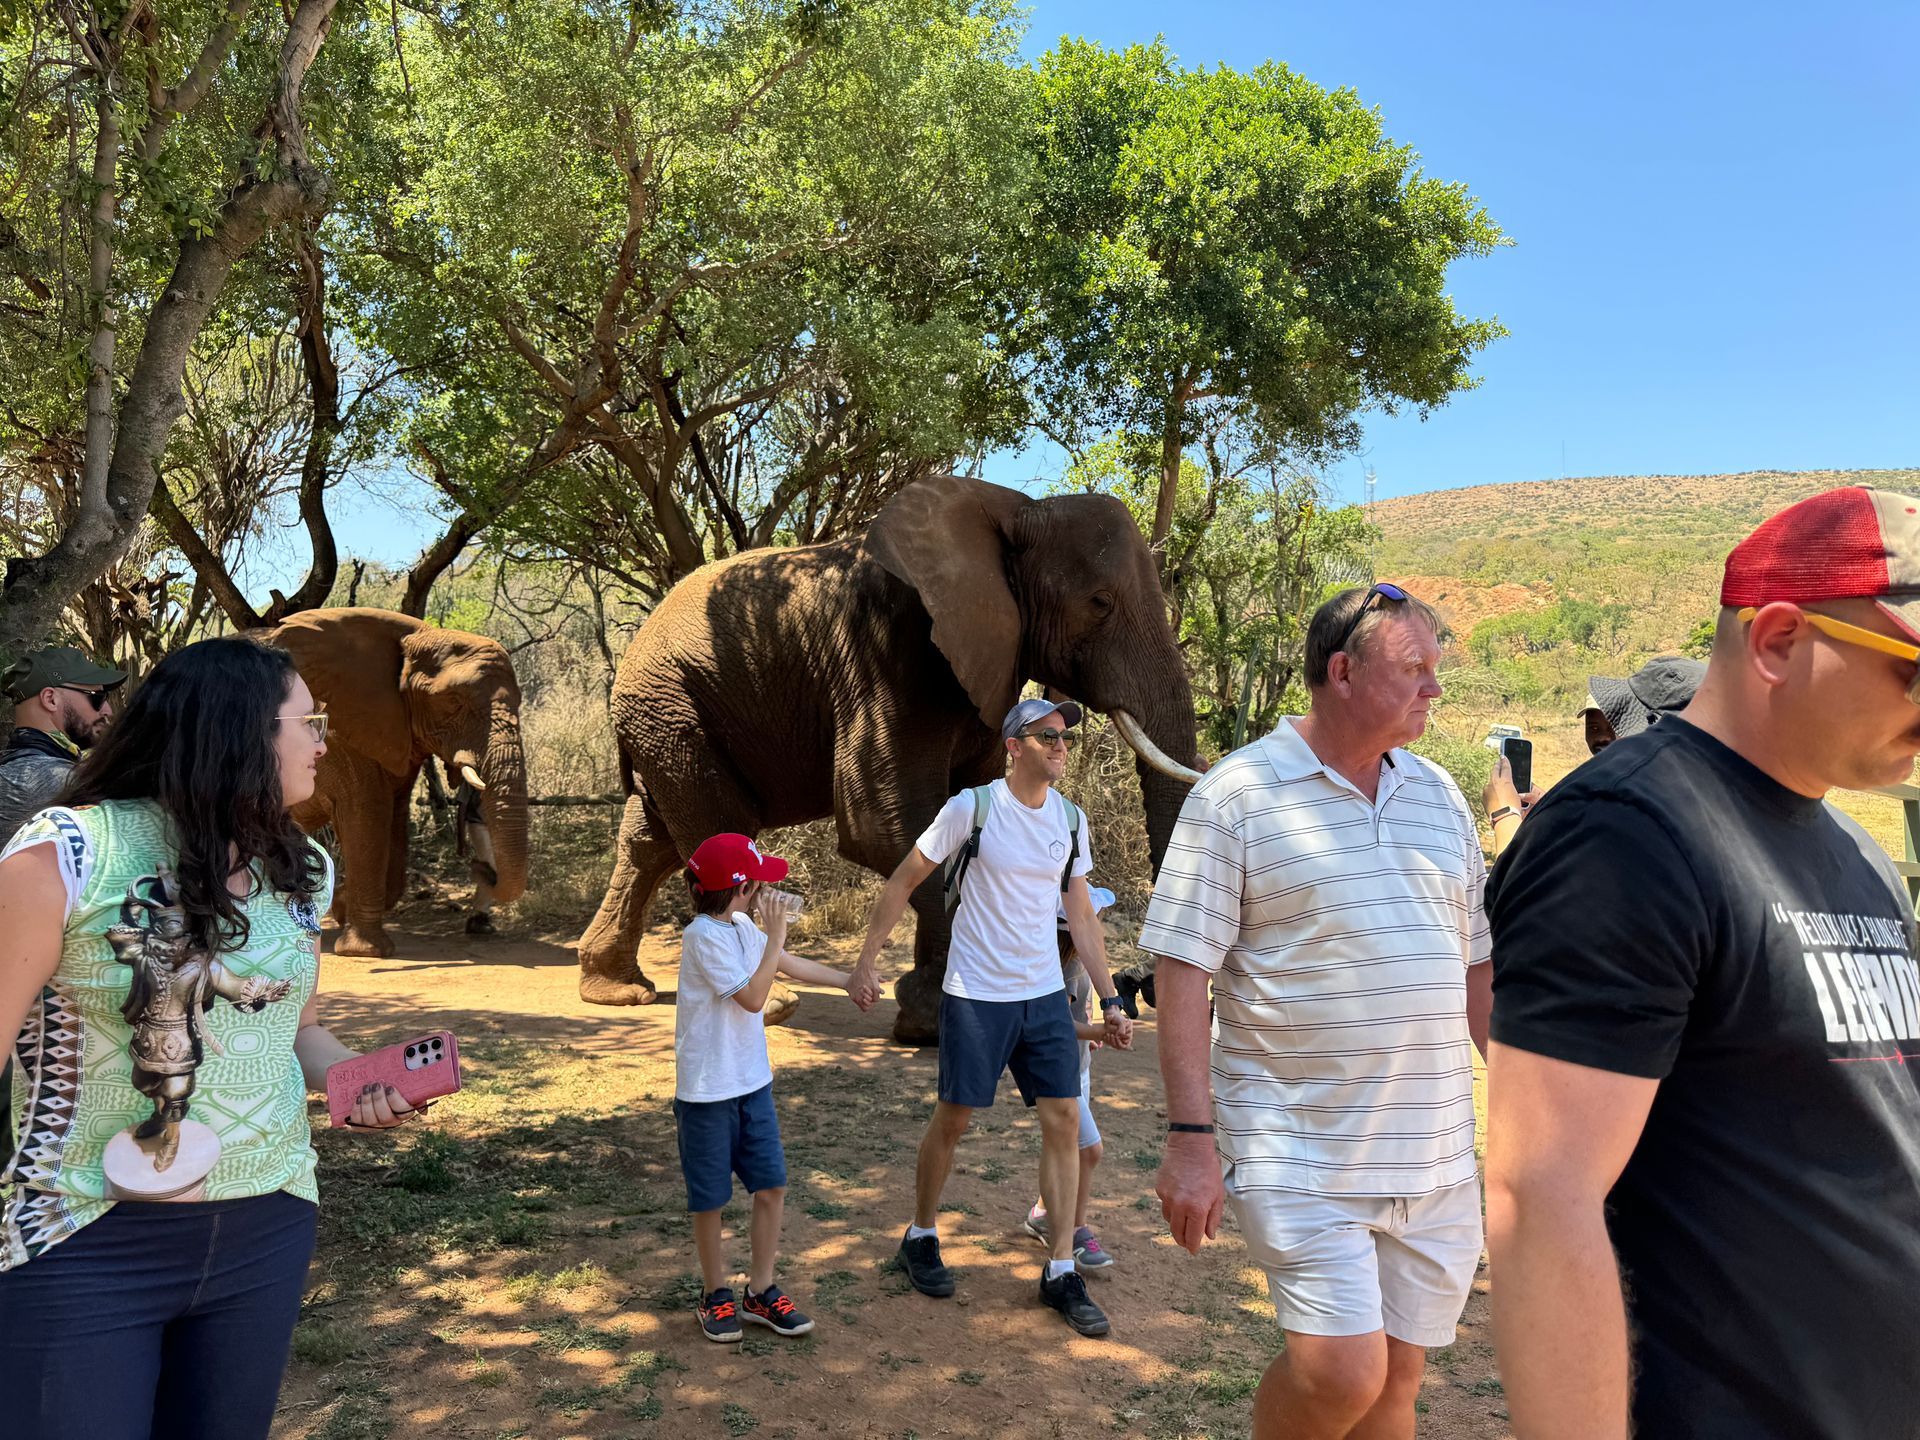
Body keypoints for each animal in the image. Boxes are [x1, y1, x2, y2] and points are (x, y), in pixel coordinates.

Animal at [265, 608, 531, 958]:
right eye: (453, 701)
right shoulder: (339, 734)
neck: (414, 636)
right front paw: (365, 951)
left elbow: (395, 818)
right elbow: (369, 814)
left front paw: (341, 906)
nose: (479, 866)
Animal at [574, 473, 1202, 1043]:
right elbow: (886, 825)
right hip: (672, 708)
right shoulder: (885, 648)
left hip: (666, 717)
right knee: (719, 828)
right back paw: (770, 1002)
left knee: (649, 840)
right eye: (1099, 603)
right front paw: (936, 1018)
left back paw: (617, 990)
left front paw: (928, 1017)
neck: (1017, 510)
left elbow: (953, 813)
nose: (1141, 985)